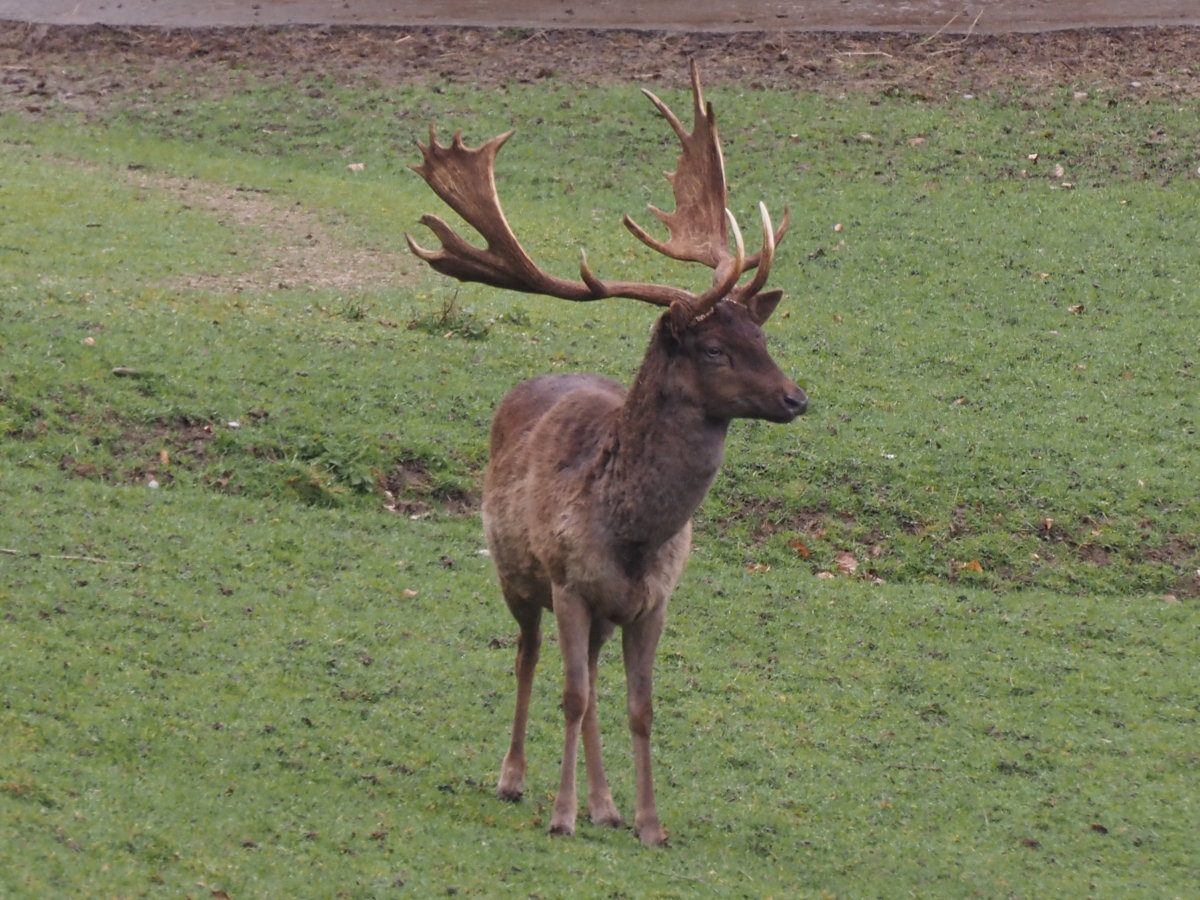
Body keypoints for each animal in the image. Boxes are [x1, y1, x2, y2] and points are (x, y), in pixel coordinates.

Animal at [408, 61, 811, 844]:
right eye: (715, 349)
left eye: (762, 337)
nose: (795, 398)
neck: (631, 531)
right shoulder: (568, 583)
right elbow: (570, 695)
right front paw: (561, 816)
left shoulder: (653, 602)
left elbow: (637, 706)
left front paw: (648, 823)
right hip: (514, 575)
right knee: (529, 659)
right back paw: (516, 780)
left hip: (597, 615)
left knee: (592, 682)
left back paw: (606, 803)